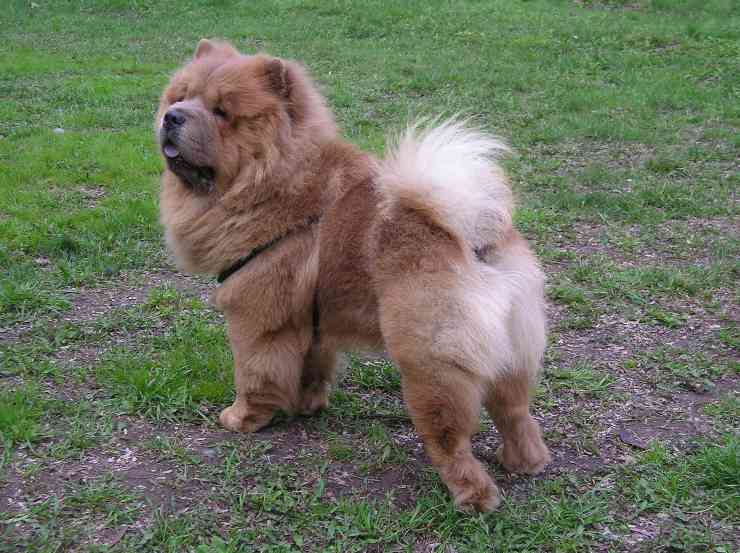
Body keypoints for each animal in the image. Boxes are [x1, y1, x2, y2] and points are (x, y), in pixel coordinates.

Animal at [156, 38, 548, 512]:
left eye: (221, 112)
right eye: (179, 98)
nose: (173, 117)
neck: (271, 178)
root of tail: (472, 236)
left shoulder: (257, 317)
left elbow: (254, 373)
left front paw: (242, 418)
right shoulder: (310, 323)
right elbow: (310, 366)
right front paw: (307, 405)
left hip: (430, 362)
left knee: (451, 437)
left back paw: (473, 496)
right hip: (514, 348)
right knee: (516, 412)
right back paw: (525, 462)